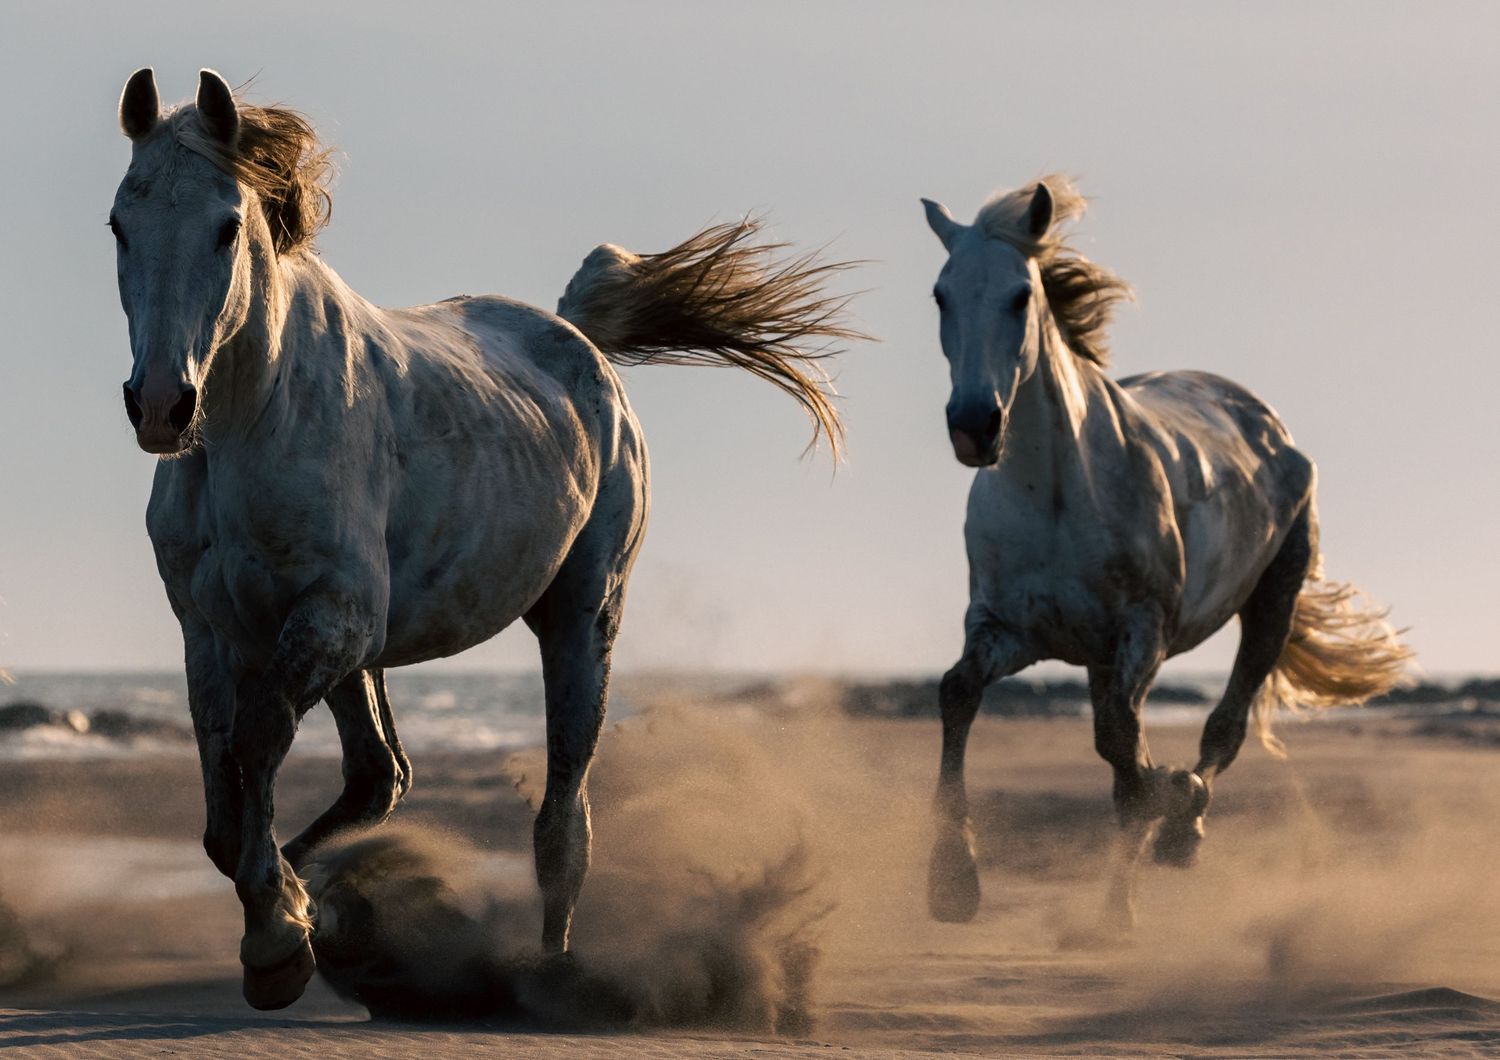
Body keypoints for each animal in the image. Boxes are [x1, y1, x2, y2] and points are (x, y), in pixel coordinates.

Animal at [109, 68, 857, 1010]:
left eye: (226, 226)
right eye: (119, 223)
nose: (161, 406)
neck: (257, 414)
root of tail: (579, 339)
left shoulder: (331, 616)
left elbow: (254, 749)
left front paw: (278, 940)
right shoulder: (211, 629)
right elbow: (223, 804)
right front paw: (289, 922)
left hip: (580, 617)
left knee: (562, 817)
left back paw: (546, 977)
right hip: (369, 656)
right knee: (381, 776)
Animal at [919, 176, 1410, 935]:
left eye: (1020, 296)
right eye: (941, 295)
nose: (975, 425)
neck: (1057, 495)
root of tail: (1261, 416)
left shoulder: (1141, 628)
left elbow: (1126, 748)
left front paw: (1169, 805)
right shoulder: (1008, 627)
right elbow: (959, 692)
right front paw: (953, 885)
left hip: (1271, 602)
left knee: (1223, 727)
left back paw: (1168, 848)